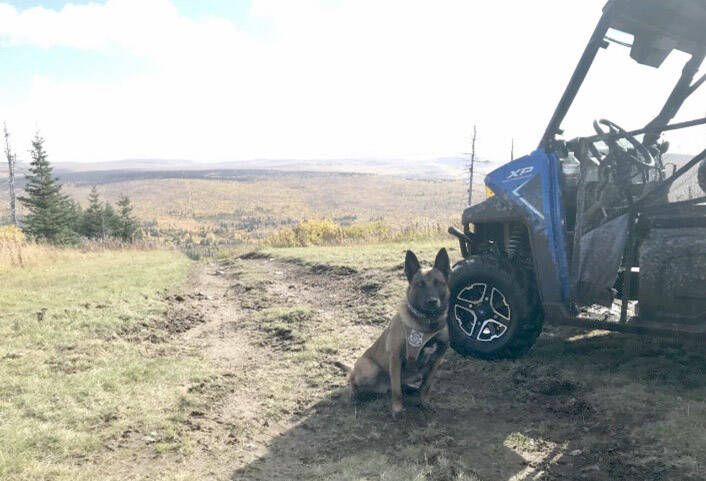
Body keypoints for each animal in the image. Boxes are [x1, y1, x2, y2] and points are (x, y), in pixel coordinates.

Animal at [348, 248, 452, 412]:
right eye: (419, 284)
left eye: (438, 283)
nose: (432, 301)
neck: (427, 323)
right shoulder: (395, 357)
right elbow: (396, 390)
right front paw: (397, 410)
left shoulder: (436, 360)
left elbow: (426, 386)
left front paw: (424, 402)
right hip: (370, 369)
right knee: (352, 380)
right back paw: (354, 395)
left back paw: (411, 389)